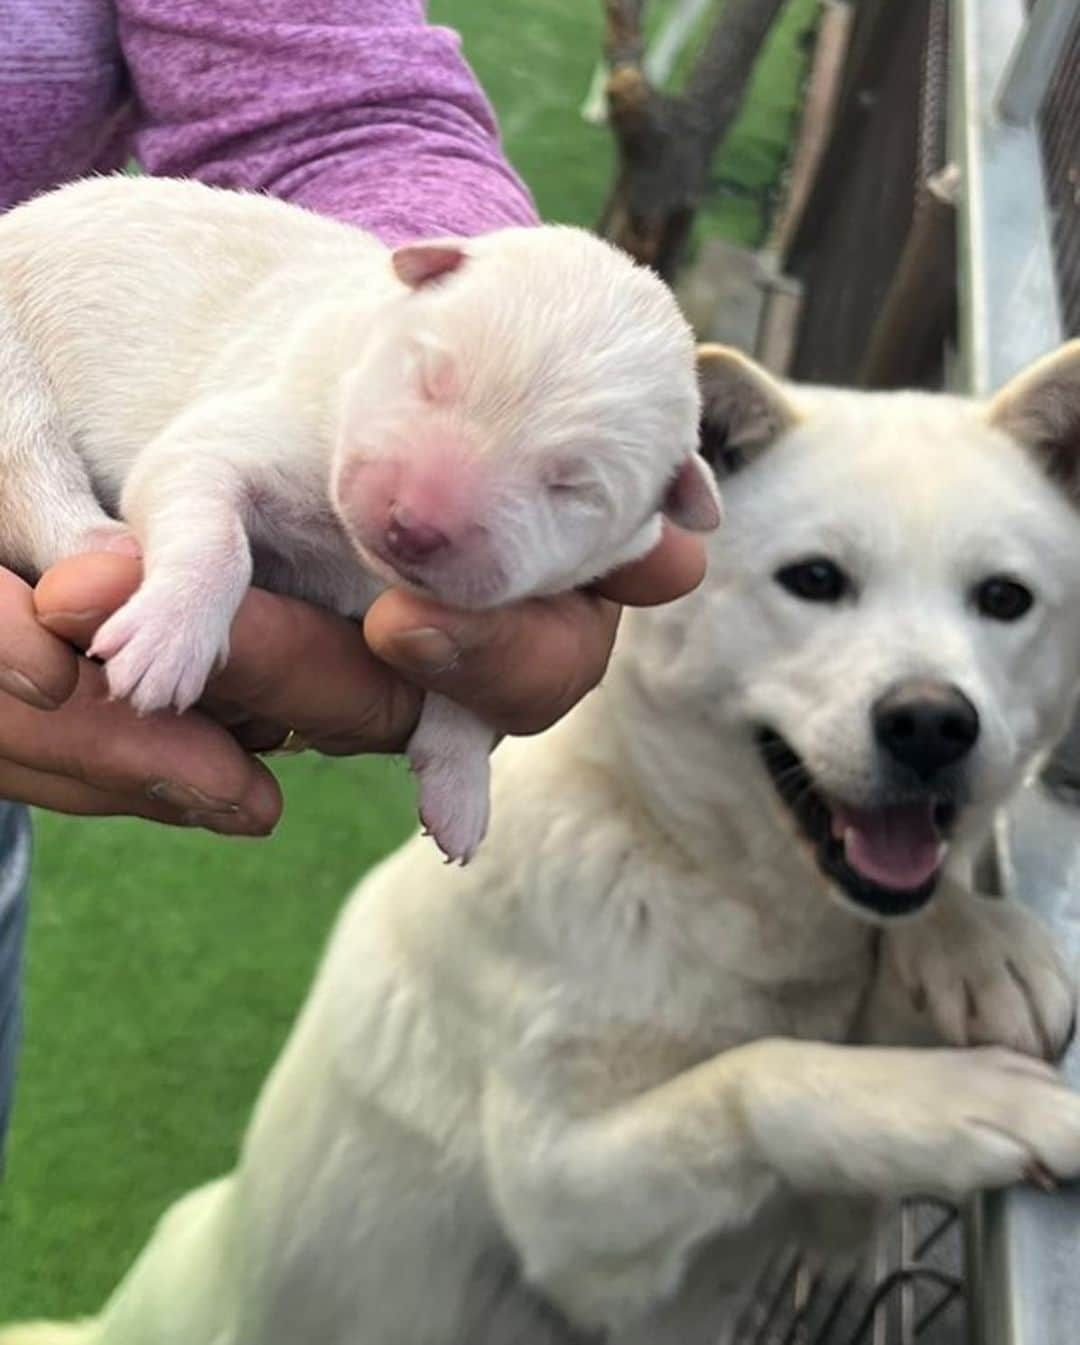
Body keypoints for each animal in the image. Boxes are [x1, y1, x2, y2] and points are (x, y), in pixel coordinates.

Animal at [0, 176, 715, 860]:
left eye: (573, 487)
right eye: (430, 375)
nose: (415, 526)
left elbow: (476, 688)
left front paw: (459, 784)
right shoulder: (245, 426)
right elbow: (209, 519)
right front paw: (168, 640)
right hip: (14, 374)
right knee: (33, 471)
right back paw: (104, 545)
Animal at [6, 341, 1080, 1339]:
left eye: (1005, 599)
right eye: (814, 580)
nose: (933, 725)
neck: (684, 863)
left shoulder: (803, 1213)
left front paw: (973, 941)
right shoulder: (566, 1201)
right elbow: (763, 1077)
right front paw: (976, 1101)